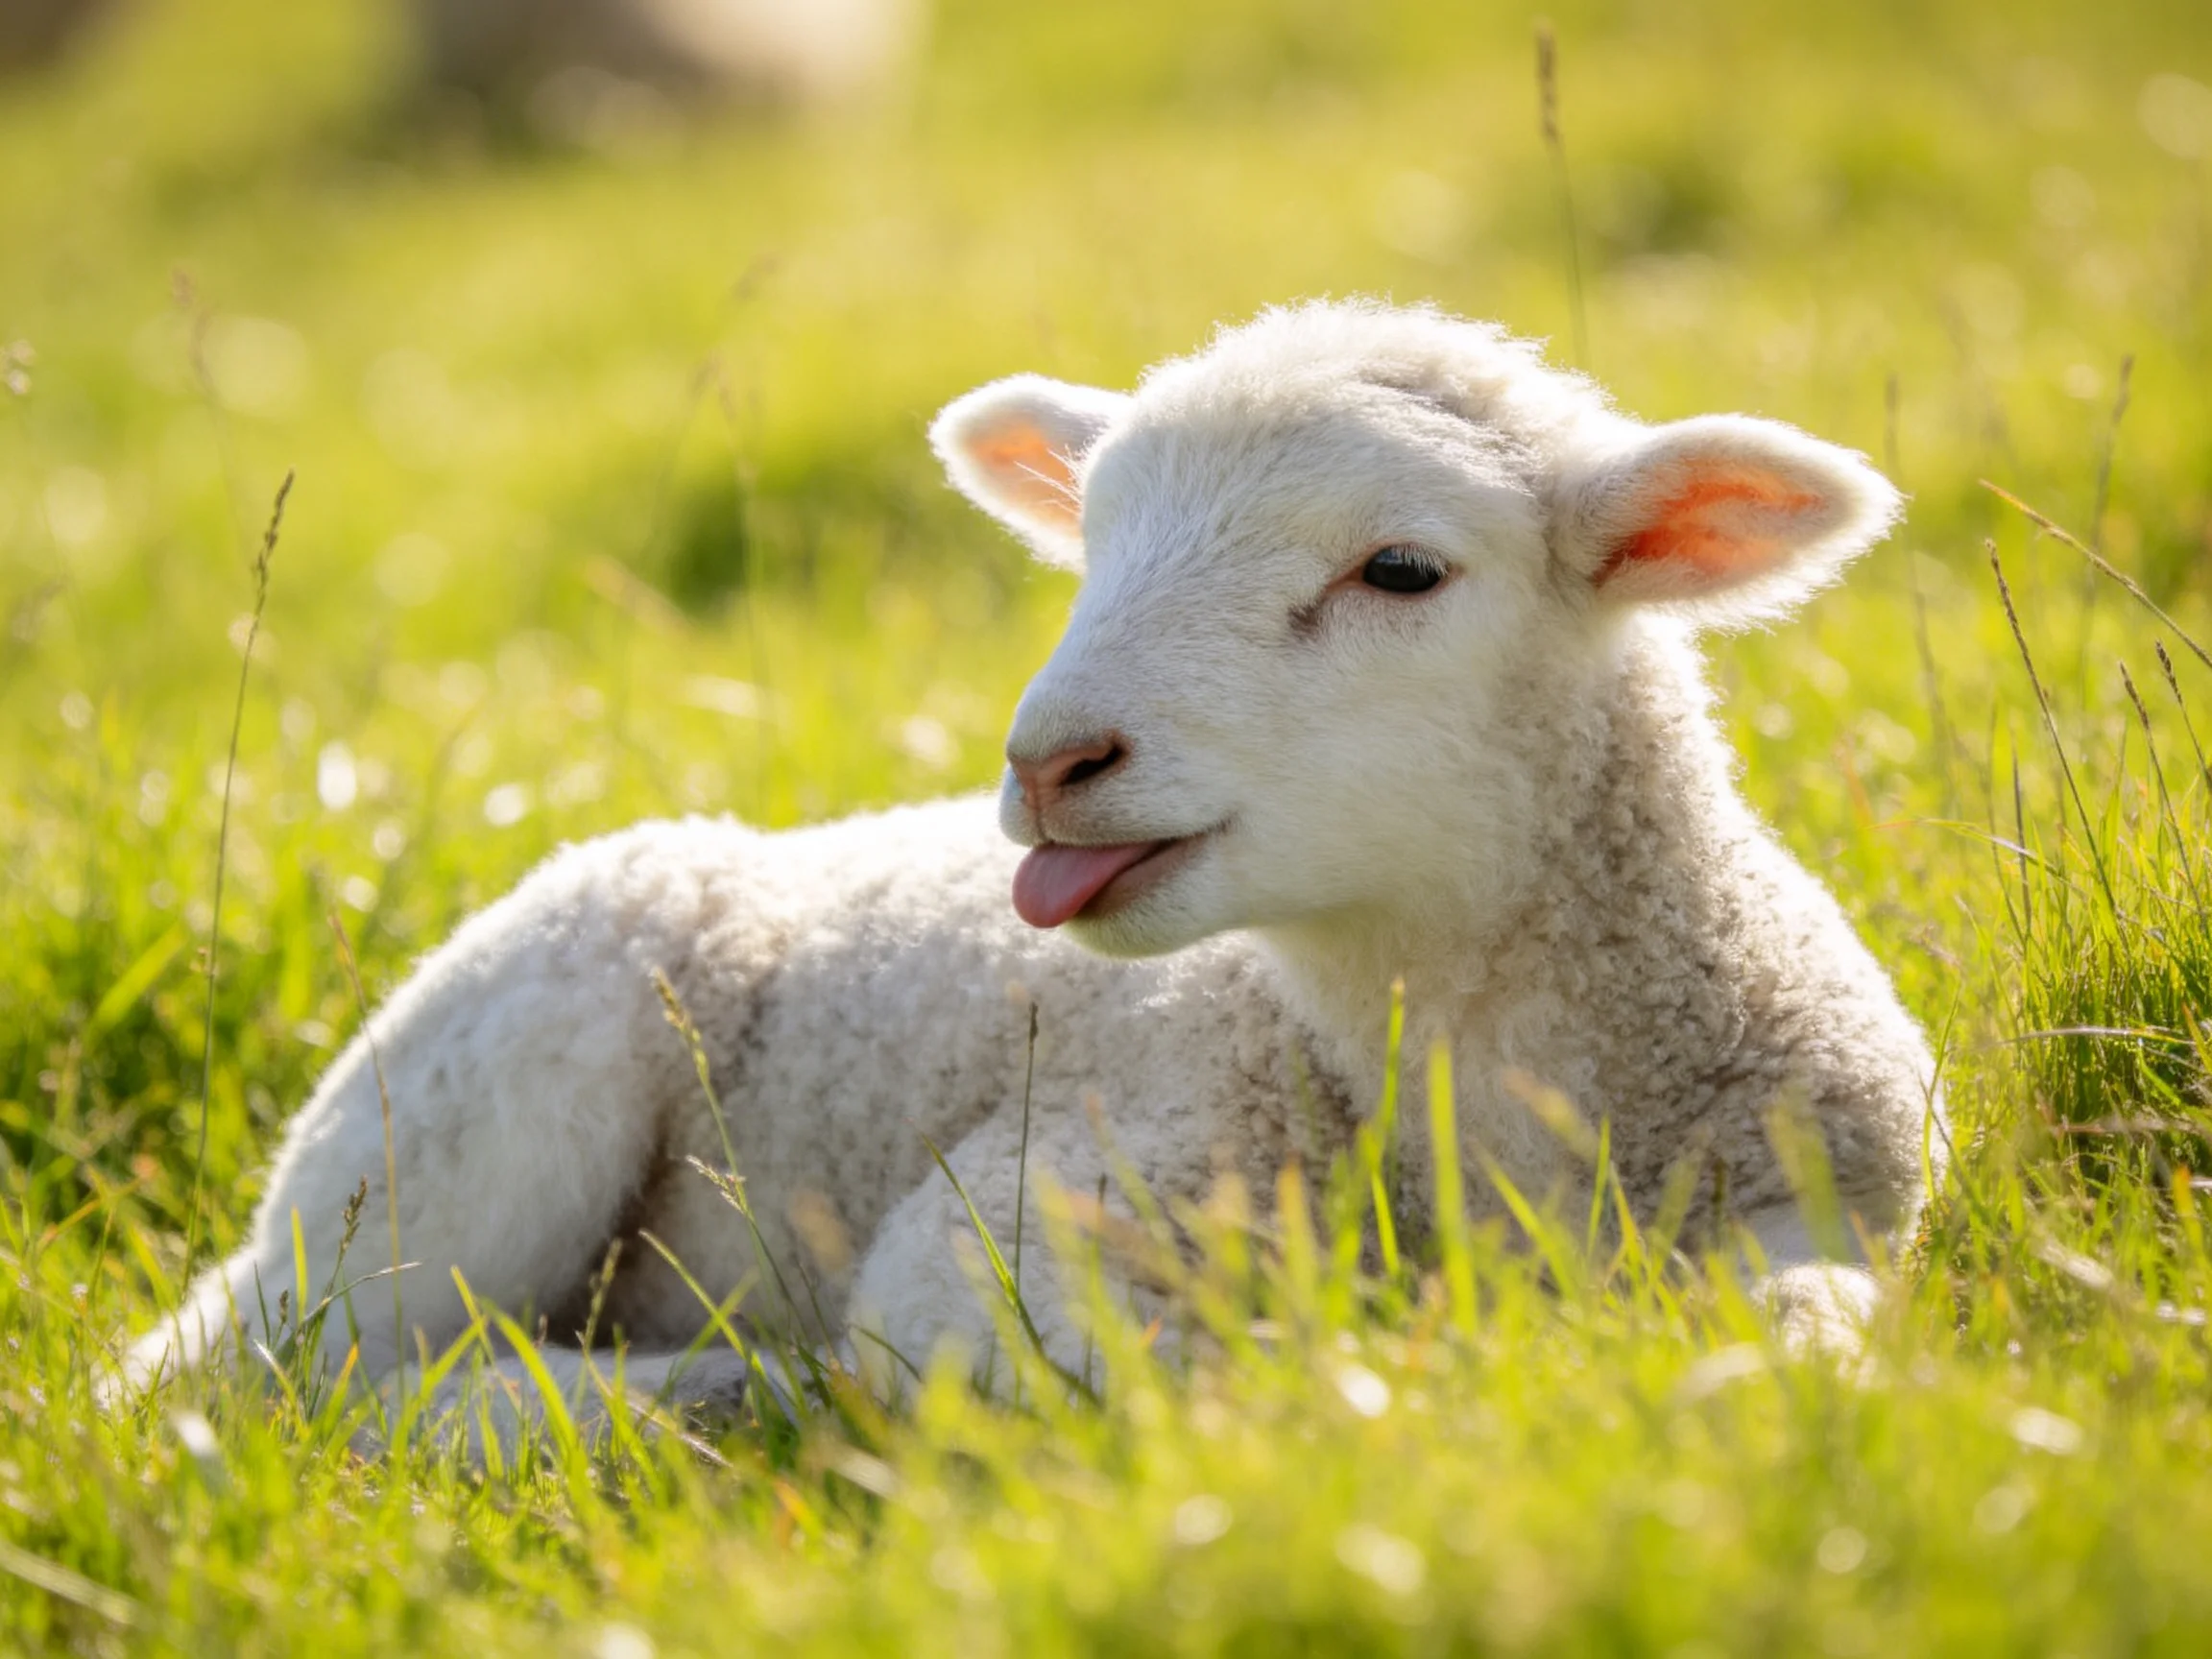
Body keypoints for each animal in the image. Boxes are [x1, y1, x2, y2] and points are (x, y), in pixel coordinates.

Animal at [118, 299, 1938, 1435]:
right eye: (1092, 543)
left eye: (1402, 570)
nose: (1050, 761)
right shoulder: (1025, 1205)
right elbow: (1155, 1376)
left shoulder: (1823, 1193)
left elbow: (1808, 1343)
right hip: (457, 1126)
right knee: (256, 1380)